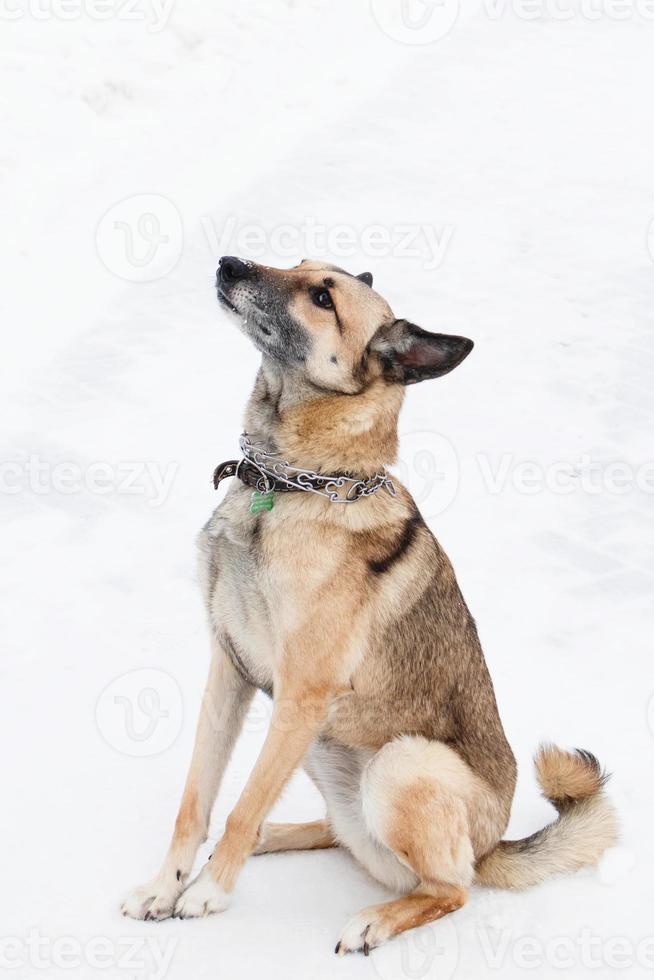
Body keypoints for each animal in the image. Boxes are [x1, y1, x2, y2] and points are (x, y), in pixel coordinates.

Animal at [123, 256, 620, 952]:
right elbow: (198, 801)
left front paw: (209, 893)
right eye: (299, 265)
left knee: (449, 890)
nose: (228, 263)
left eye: (323, 298)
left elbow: (244, 803)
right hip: (322, 749)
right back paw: (280, 836)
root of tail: (491, 848)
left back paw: (373, 919)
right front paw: (166, 886)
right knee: (338, 833)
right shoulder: (230, 671)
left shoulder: (301, 694)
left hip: (399, 762)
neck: (289, 484)